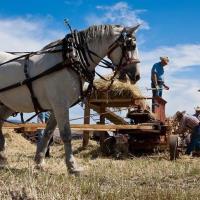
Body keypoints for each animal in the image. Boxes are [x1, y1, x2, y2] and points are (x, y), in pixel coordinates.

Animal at [0, 23, 141, 173]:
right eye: (131, 46)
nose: (137, 76)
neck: (71, 58)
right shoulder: (60, 105)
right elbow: (66, 134)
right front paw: (72, 167)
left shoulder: (56, 107)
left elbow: (48, 133)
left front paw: (39, 163)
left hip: (7, 105)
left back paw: (3, 159)